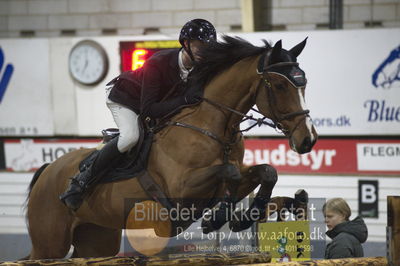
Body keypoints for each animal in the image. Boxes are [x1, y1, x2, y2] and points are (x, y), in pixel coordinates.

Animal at [25, 36, 318, 258]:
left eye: (304, 83)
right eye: (279, 85)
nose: (308, 140)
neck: (214, 126)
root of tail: (48, 170)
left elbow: (266, 172)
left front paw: (243, 217)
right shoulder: (182, 189)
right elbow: (230, 174)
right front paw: (218, 218)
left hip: (97, 238)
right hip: (50, 242)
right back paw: (75, 189)